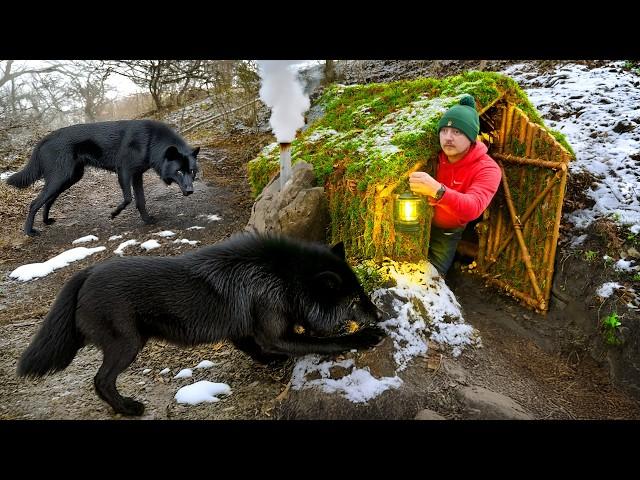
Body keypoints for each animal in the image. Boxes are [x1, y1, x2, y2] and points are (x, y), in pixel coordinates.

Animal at [5, 120, 200, 236]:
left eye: (191, 171)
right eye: (179, 172)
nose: (191, 191)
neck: (151, 140)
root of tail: (44, 139)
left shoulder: (137, 175)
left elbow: (140, 201)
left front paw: (147, 220)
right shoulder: (124, 171)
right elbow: (128, 198)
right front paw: (114, 214)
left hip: (69, 179)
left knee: (48, 200)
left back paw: (46, 221)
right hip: (59, 179)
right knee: (34, 203)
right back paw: (29, 231)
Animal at [16, 233, 384, 416]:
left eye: (363, 293)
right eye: (355, 300)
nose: (379, 315)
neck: (284, 276)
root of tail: (87, 273)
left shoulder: (241, 329)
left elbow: (252, 347)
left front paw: (268, 361)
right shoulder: (276, 332)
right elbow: (325, 340)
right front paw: (365, 336)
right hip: (128, 345)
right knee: (100, 380)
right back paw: (128, 409)